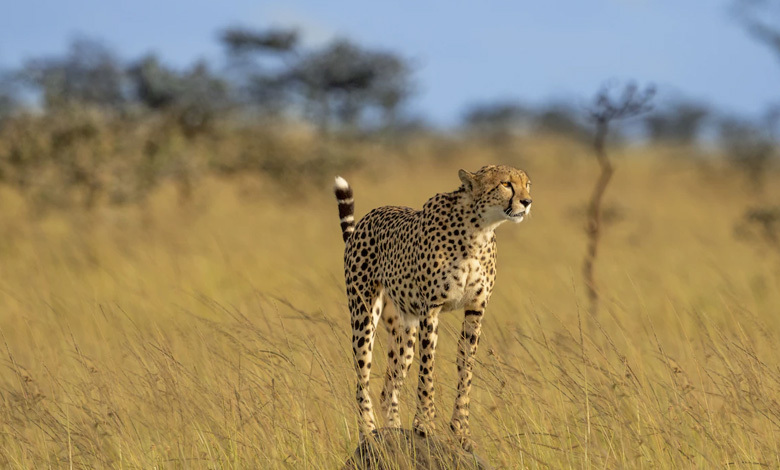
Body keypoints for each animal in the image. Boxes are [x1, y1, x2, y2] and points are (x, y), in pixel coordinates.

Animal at [332, 165, 532, 452]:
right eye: (506, 184)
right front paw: (424, 424)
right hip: (363, 315)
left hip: (404, 334)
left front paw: (461, 432)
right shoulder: (431, 310)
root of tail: (367, 218)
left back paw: (394, 432)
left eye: (528, 184)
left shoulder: (476, 310)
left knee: (388, 388)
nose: (527, 202)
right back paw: (368, 433)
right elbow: (428, 369)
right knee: (362, 379)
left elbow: (466, 370)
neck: (478, 231)